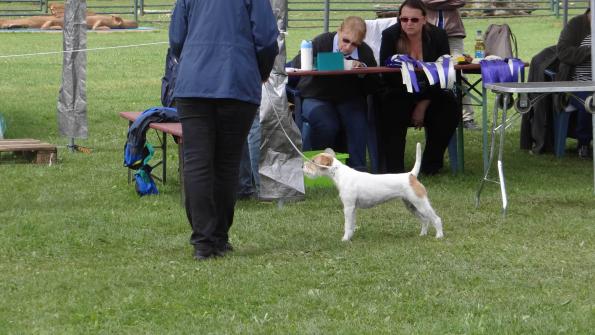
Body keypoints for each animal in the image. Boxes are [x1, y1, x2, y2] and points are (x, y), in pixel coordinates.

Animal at [304, 143, 444, 243]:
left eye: (313, 161)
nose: (302, 167)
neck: (340, 174)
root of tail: (411, 175)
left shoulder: (348, 207)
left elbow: (347, 224)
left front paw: (344, 239)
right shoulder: (353, 208)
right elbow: (352, 224)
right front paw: (350, 237)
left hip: (421, 204)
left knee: (436, 219)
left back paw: (439, 236)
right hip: (411, 206)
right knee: (425, 220)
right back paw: (422, 235)